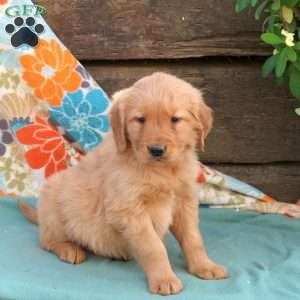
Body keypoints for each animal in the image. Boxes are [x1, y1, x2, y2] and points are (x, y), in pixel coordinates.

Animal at [20, 72, 227, 296]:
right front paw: (164, 278)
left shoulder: (184, 202)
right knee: (46, 240)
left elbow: (193, 239)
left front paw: (204, 266)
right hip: (54, 200)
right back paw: (69, 248)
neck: (161, 171)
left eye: (175, 119)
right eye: (140, 119)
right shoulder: (130, 209)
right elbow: (153, 247)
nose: (156, 150)